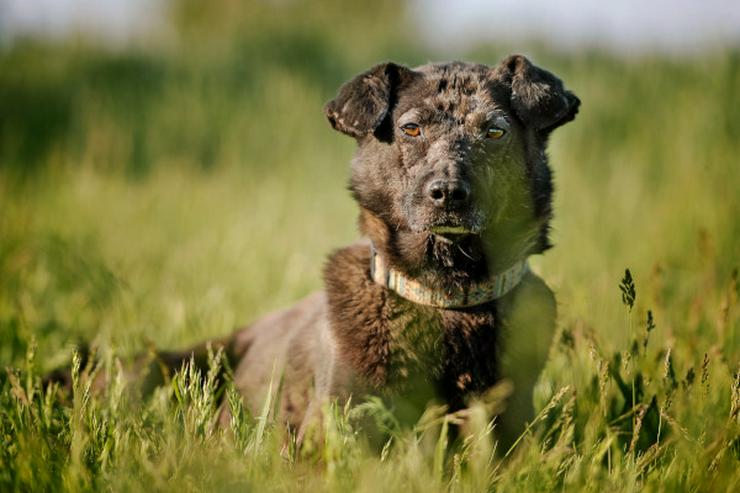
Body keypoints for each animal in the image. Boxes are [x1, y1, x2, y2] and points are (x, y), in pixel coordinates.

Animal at [53, 54, 584, 446]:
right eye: (411, 129)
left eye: (494, 131)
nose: (448, 193)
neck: (446, 297)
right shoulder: (336, 429)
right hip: (158, 368)